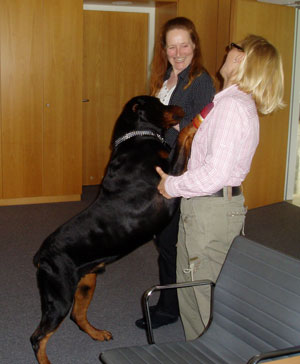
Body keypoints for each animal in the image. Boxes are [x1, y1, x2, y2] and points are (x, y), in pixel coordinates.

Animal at [30, 95, 197, 362]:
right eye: (159, 103)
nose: (180, 107)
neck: (137, 138)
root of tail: (42, 255)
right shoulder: (169, 183)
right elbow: (181, 140)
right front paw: (192, 125)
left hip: (86, 281)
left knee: (77, 315)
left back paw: (97, 333)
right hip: (59, 295)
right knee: (38, 337)